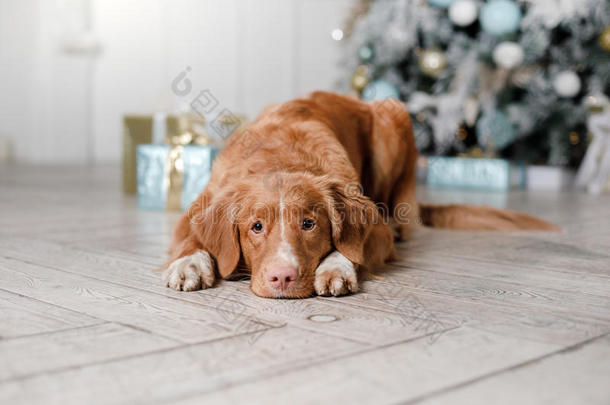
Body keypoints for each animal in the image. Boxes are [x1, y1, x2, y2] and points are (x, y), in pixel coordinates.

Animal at [163, 92, 556, 300]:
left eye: (309, 224)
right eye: (256, 227)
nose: (282, 278)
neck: (280, 157)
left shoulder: (374, 227)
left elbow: (355, 246)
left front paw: (336, 267)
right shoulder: (196, 209)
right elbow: (190, 239)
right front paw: (189, 264)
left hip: (391, 115)